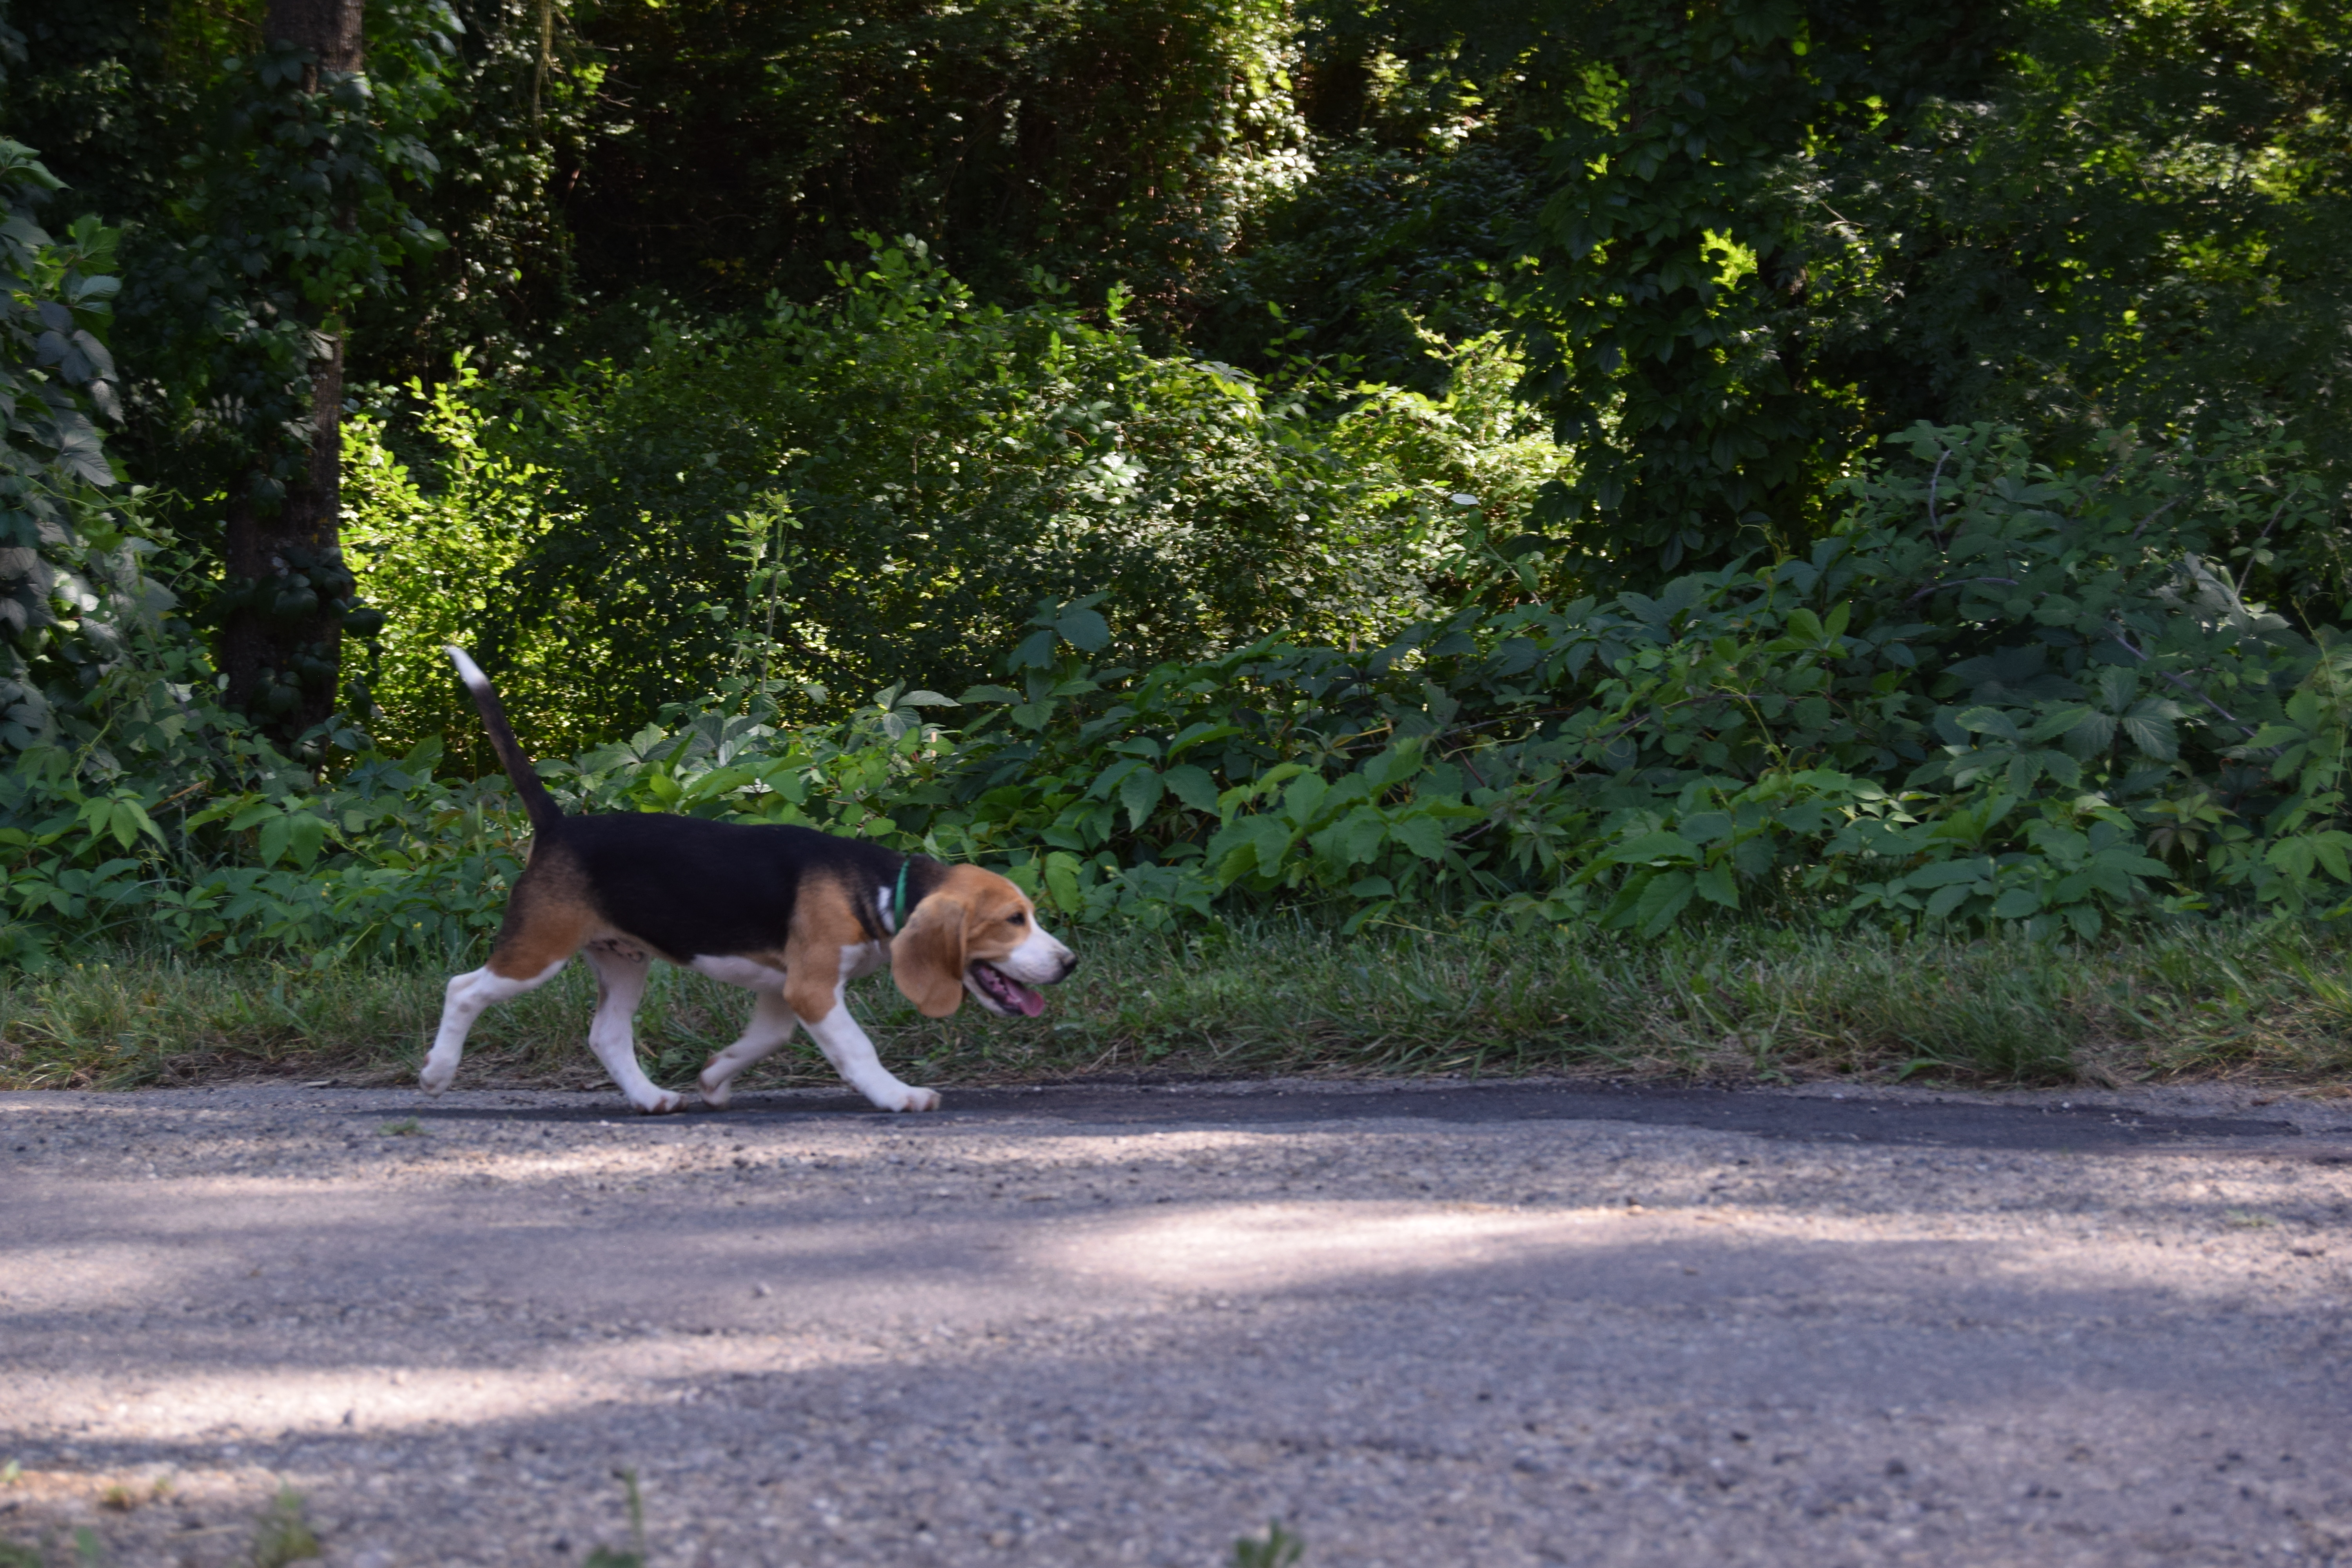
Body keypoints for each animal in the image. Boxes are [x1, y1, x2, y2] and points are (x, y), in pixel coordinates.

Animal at [421, 649, 1077, 1114]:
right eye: (1012, 921)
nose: (1069, 963)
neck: (879, 890)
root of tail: (559, 825)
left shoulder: (782, 991)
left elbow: (767, 1040)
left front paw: (713, 1078)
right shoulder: (813, 989)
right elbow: (857, 1047)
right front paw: (898, 1095)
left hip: (623, 957)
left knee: (606, 1035)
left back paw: (651, 1097)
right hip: (540, 950)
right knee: (463, 989)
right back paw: (437, 1072)